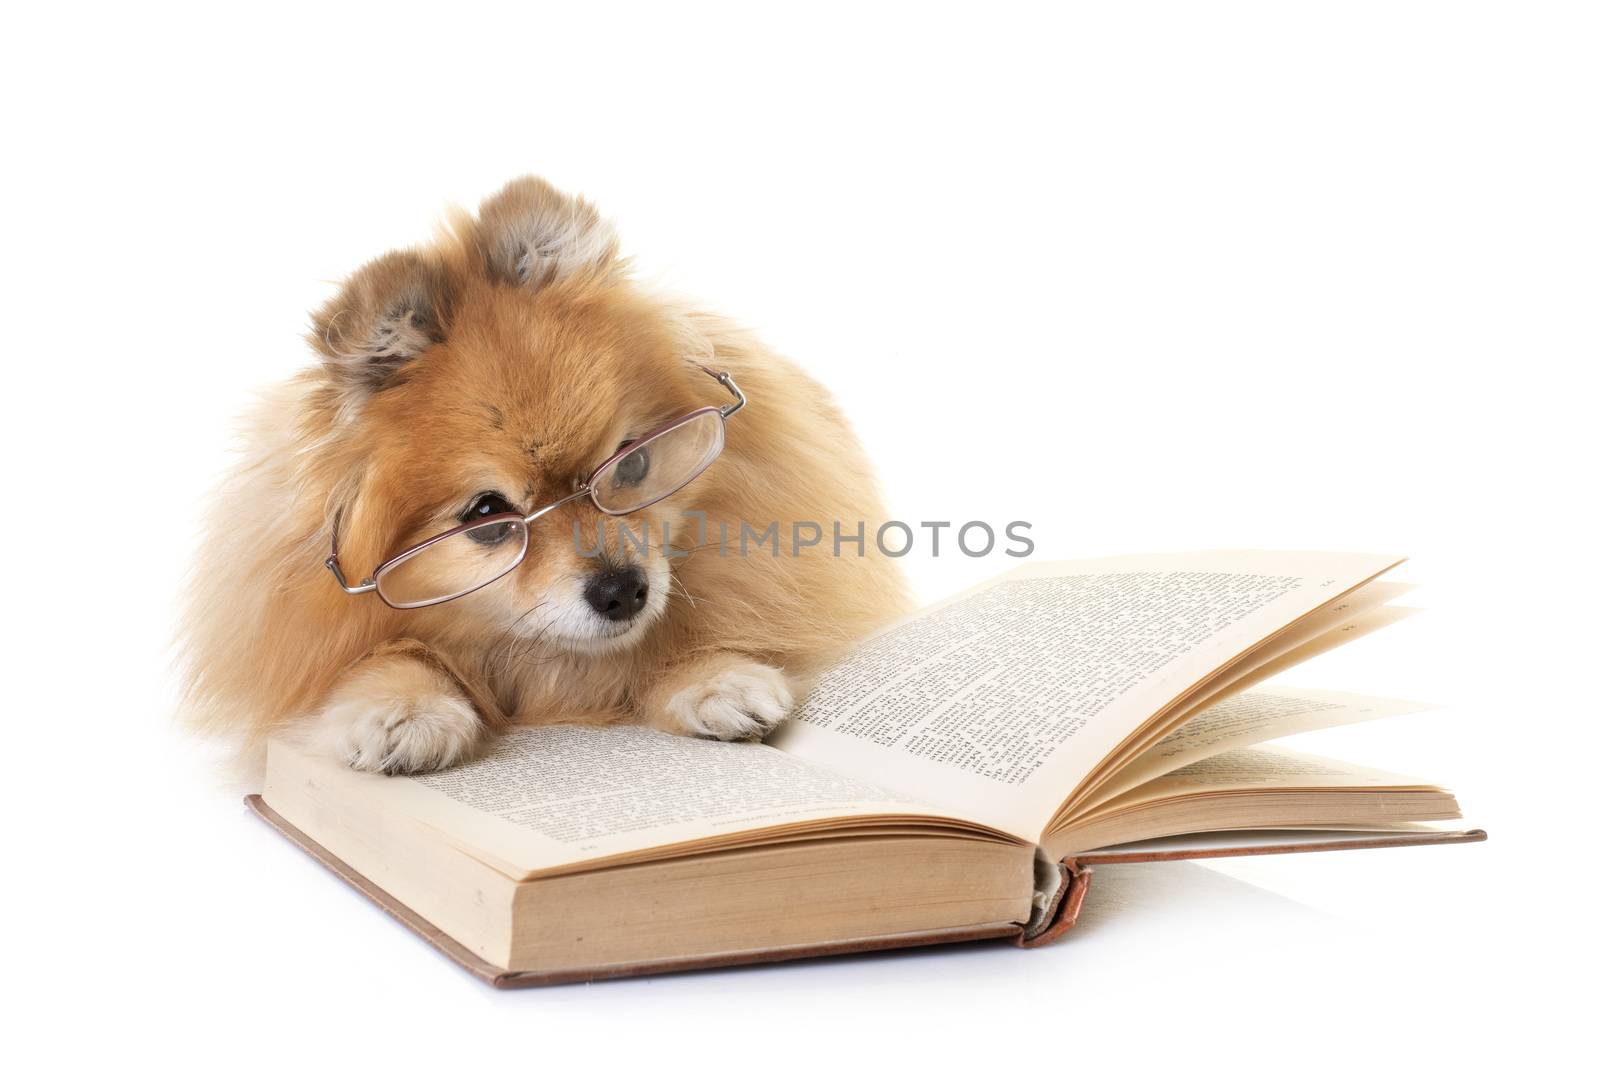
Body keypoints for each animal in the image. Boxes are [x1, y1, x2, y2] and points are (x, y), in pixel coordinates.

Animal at [181, 177, 908, 777]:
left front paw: (714, 677)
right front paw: (403, 709)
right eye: (487, 517)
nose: (623, 591)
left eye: (632, 463)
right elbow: (383, 654)